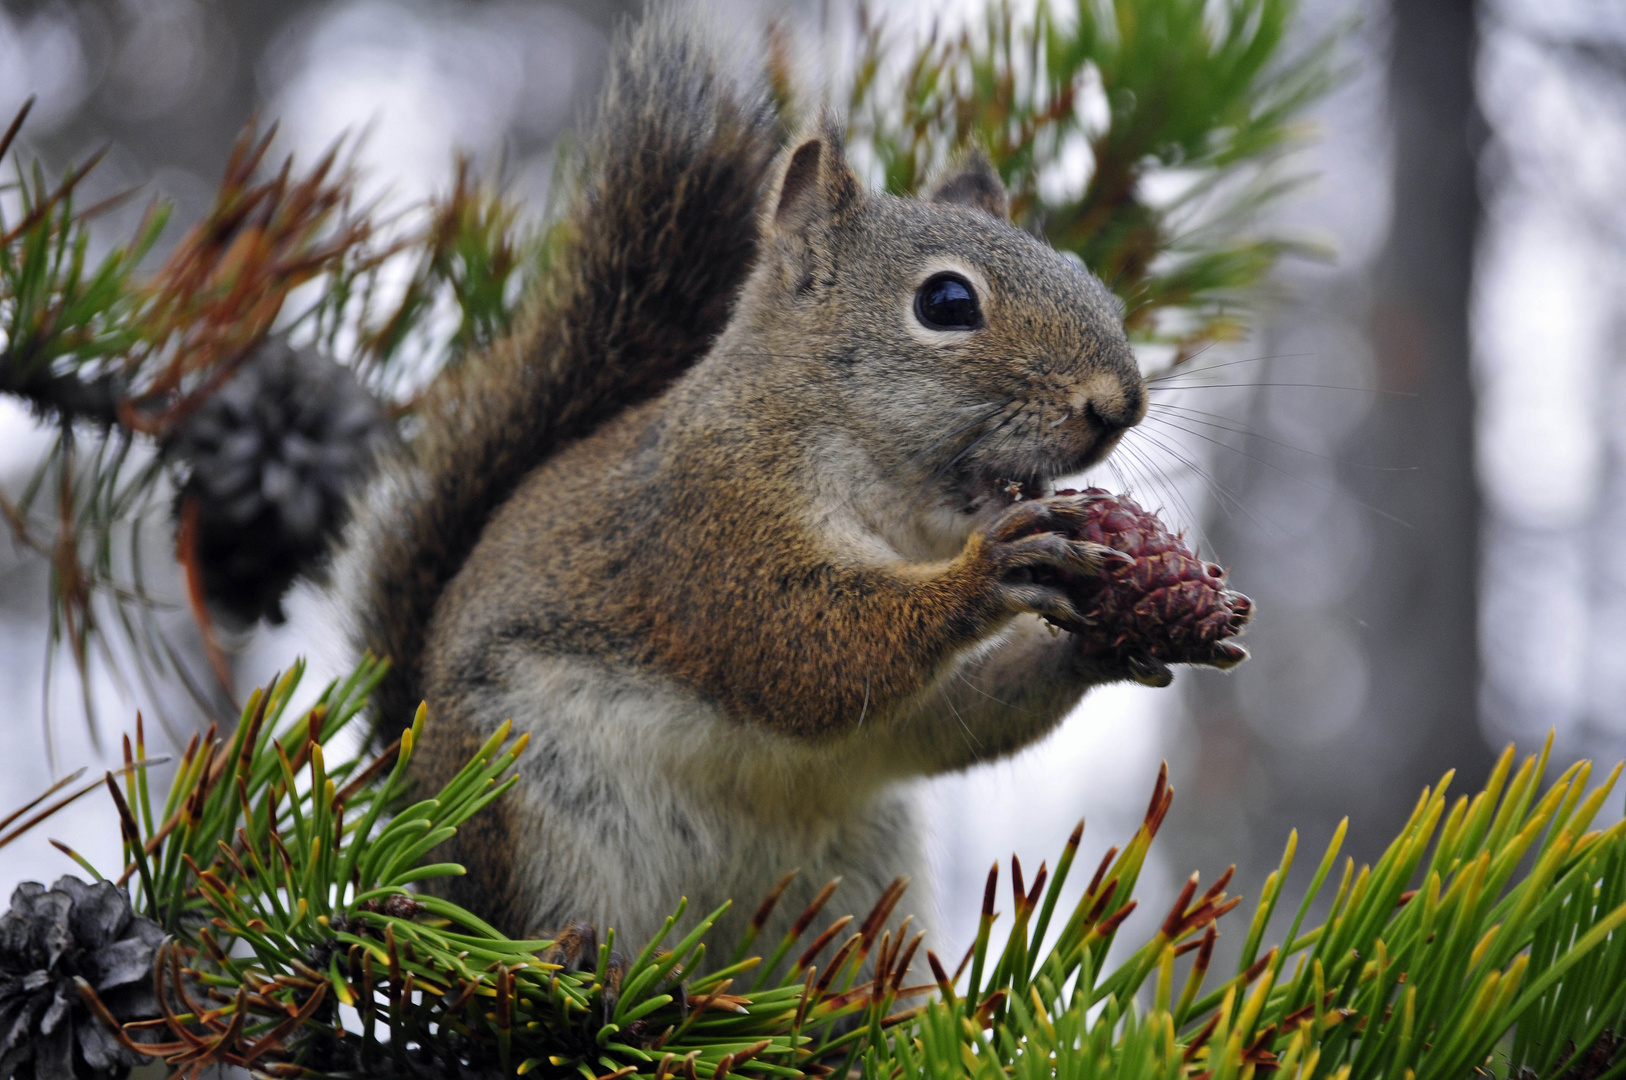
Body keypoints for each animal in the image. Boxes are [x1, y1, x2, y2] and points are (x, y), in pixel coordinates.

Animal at [352, 6, 1222, 956]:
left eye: (1086, 274)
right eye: (947, 303)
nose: (1119, 405)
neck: (895, 507)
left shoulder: (899, 724)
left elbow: (949, 715)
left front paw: (1103, 640)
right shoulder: (710, 513)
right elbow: (799, 646)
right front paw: (989, 573)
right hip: (530, 814)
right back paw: (574, 956)